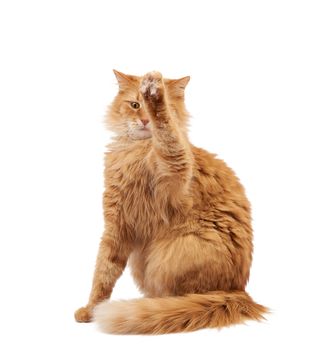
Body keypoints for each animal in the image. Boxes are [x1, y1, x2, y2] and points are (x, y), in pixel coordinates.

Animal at [75, 70, 270, 334]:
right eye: (135, 105)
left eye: (150, 107)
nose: (145, 121)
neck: (137, 151)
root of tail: (238, 291)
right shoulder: (116, 224)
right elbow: (103, 273)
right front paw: (91, 309)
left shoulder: (175, 168)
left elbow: (167, 132)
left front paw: (155, 95)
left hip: (178, 253)